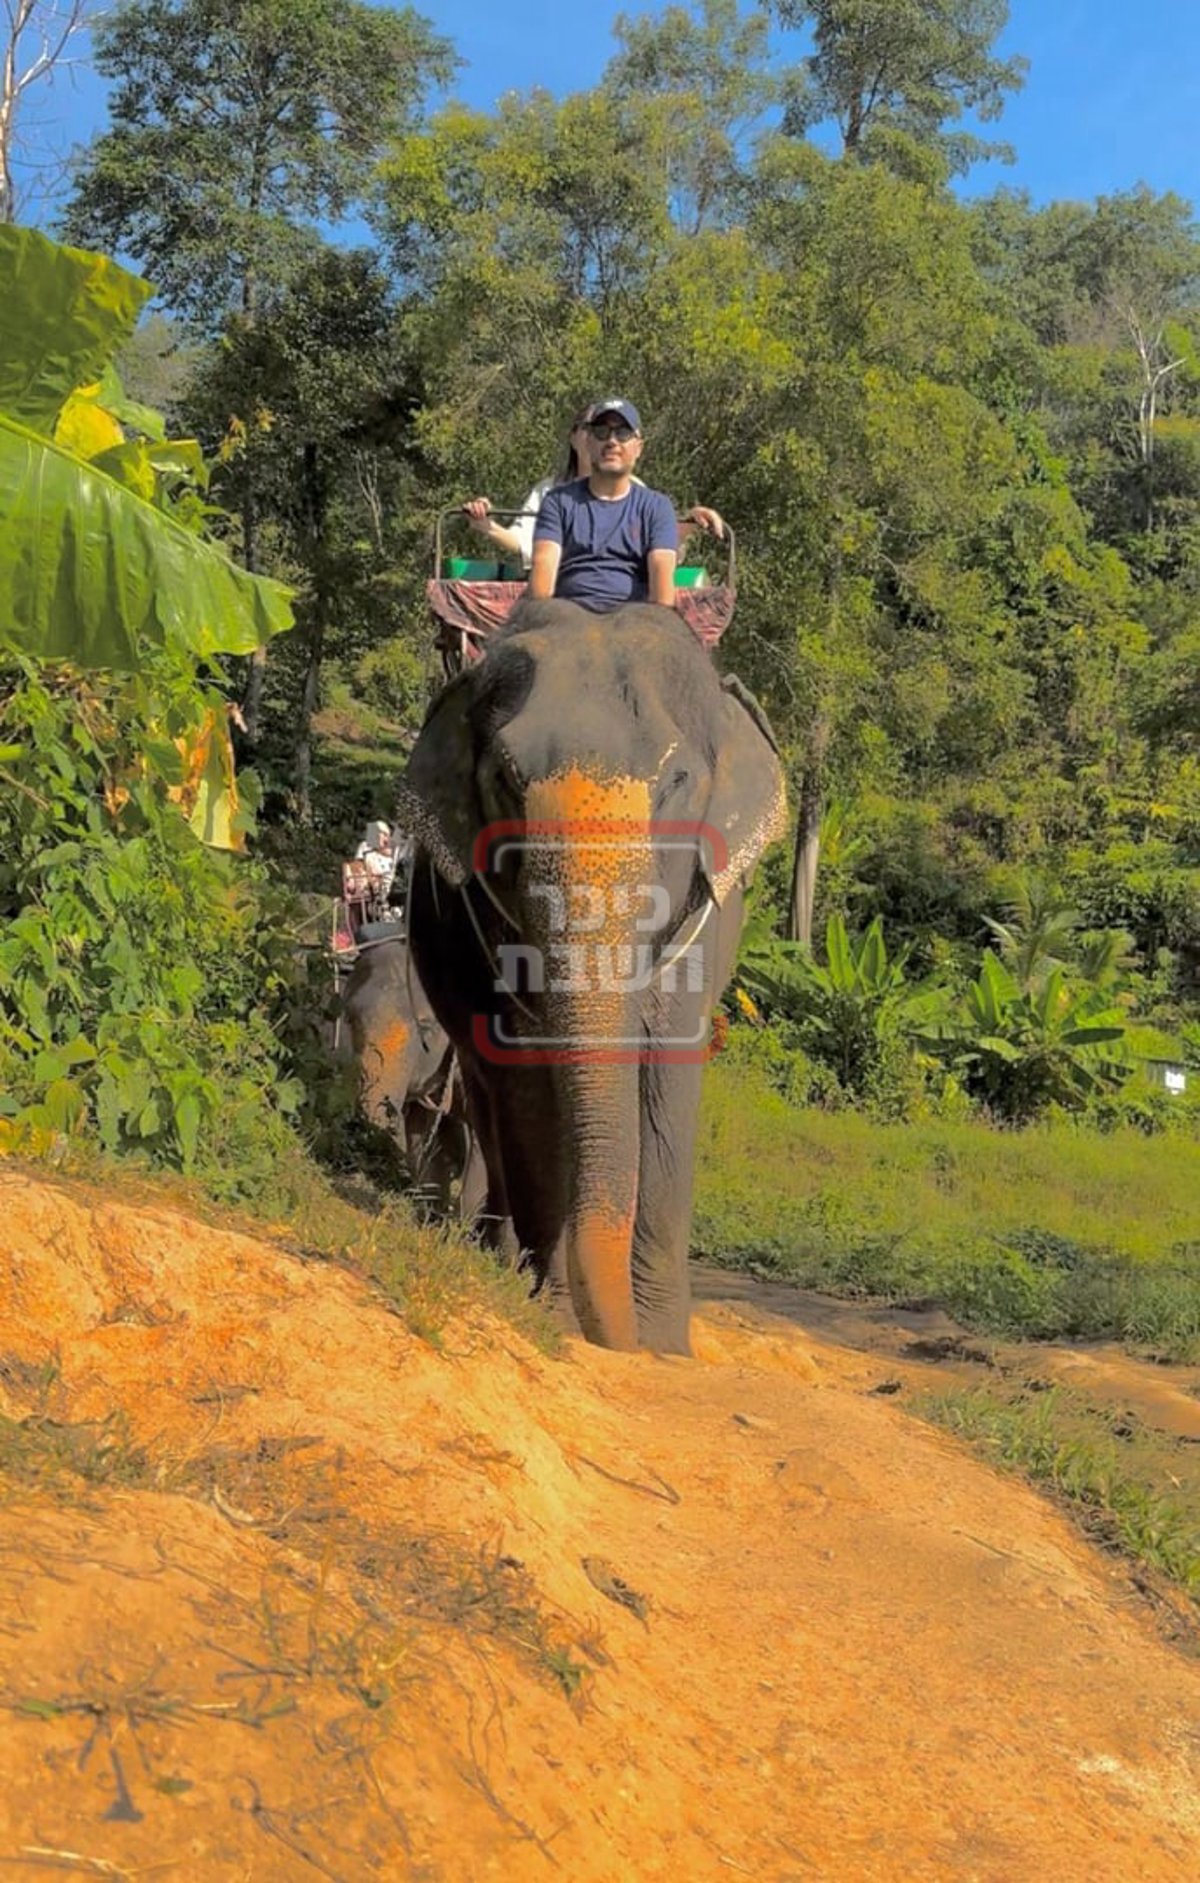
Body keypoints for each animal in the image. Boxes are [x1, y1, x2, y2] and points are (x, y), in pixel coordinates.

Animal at [395, 602, 787, 1355]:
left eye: (676, 782)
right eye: (505, 779)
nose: (622, 1339)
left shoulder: (702, 918)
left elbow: (667, 1078)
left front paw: (662, 1344)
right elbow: (527, 1082)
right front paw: (550, 1312)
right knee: (486, 1097)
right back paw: (496, 1255)